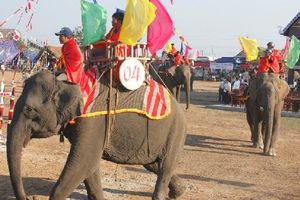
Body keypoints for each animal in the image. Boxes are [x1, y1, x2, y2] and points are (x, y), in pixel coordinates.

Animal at [6, 71, 188, 199]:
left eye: (30, 110)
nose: (30, 198)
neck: (64, 81)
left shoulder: (94, 121)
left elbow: (84, 159)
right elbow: (90, 165)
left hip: (176, 132)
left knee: (165, 165)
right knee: (152, 164)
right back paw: (178, 192)